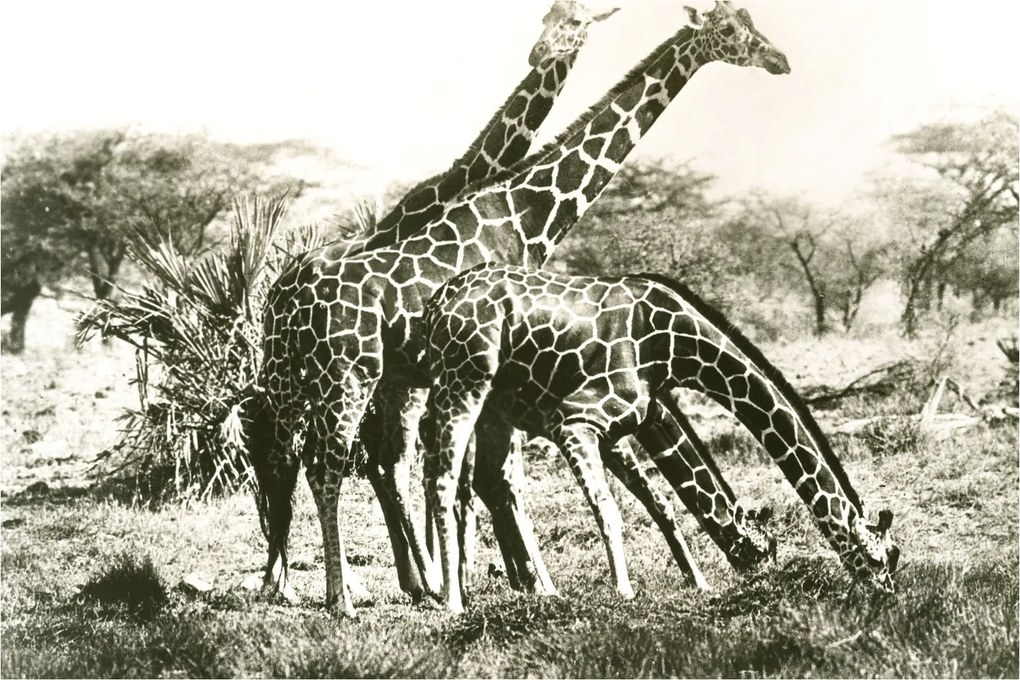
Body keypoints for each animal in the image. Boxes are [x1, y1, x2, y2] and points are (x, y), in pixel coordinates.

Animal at [254, 1, 790, 617]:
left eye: (750, 25)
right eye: (730, 31)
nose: (779, 60)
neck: (523, 212)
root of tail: (287, 294)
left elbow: (482, 478)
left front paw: (503, 579)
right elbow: (494, 478)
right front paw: (525, 584)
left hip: (299, 376)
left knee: (298, 459)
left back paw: (293, 583)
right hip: (351, 376)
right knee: (332, 463)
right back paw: (345, 595)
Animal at [422, 264, 900, 612]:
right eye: (880, 558)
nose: (889, 597)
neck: (674, 347)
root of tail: (436, 303)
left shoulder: (621, 426)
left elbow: (662, 504)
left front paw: (699, 582)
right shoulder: (575, 421)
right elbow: (609, 509)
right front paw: (624, 592)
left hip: (485, 406)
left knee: (481, 485)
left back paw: (517, 589)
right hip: (464, 380)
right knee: (444, 481)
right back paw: (454, 602)